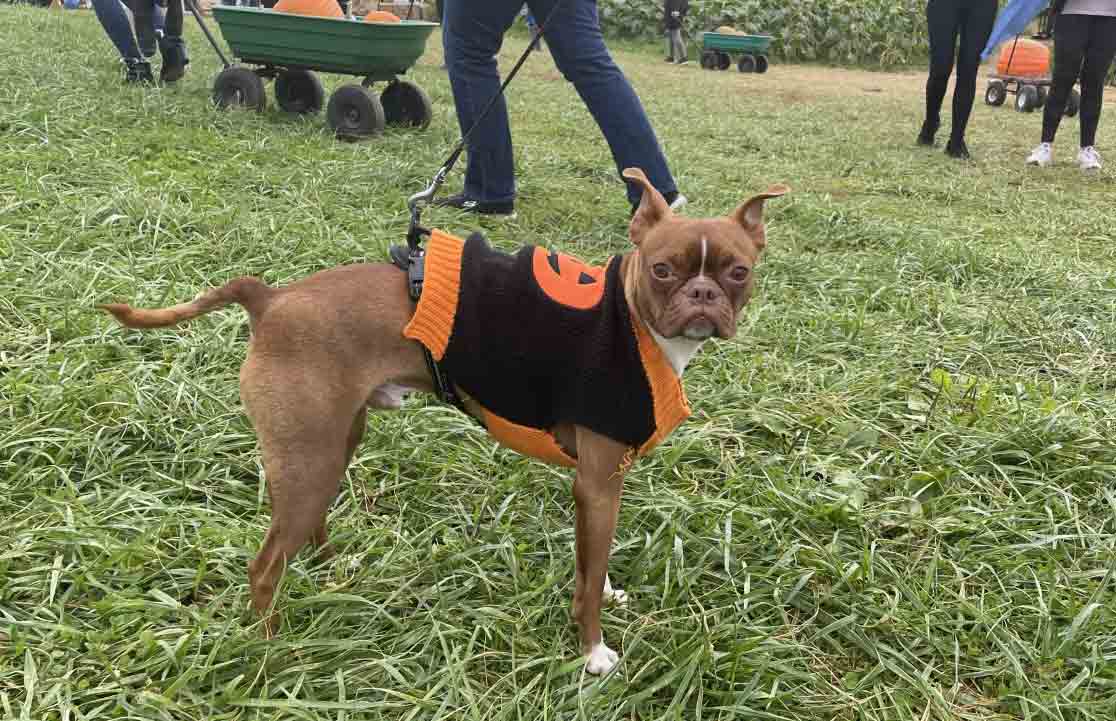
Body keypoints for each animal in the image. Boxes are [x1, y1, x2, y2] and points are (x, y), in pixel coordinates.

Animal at [102, 169, 785, 678]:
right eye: (664, 269)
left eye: (739, 272)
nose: (703, 296)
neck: (634, 321)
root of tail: (269, 298)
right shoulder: (596, 483)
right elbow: (586, 583)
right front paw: (592, 652)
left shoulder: (603, 488)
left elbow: (594, 562)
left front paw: (609, 590)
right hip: (310, 460)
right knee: (265, 565)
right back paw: (273, 652)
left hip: (330, 447)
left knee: (308, 526)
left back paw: (332, 573)